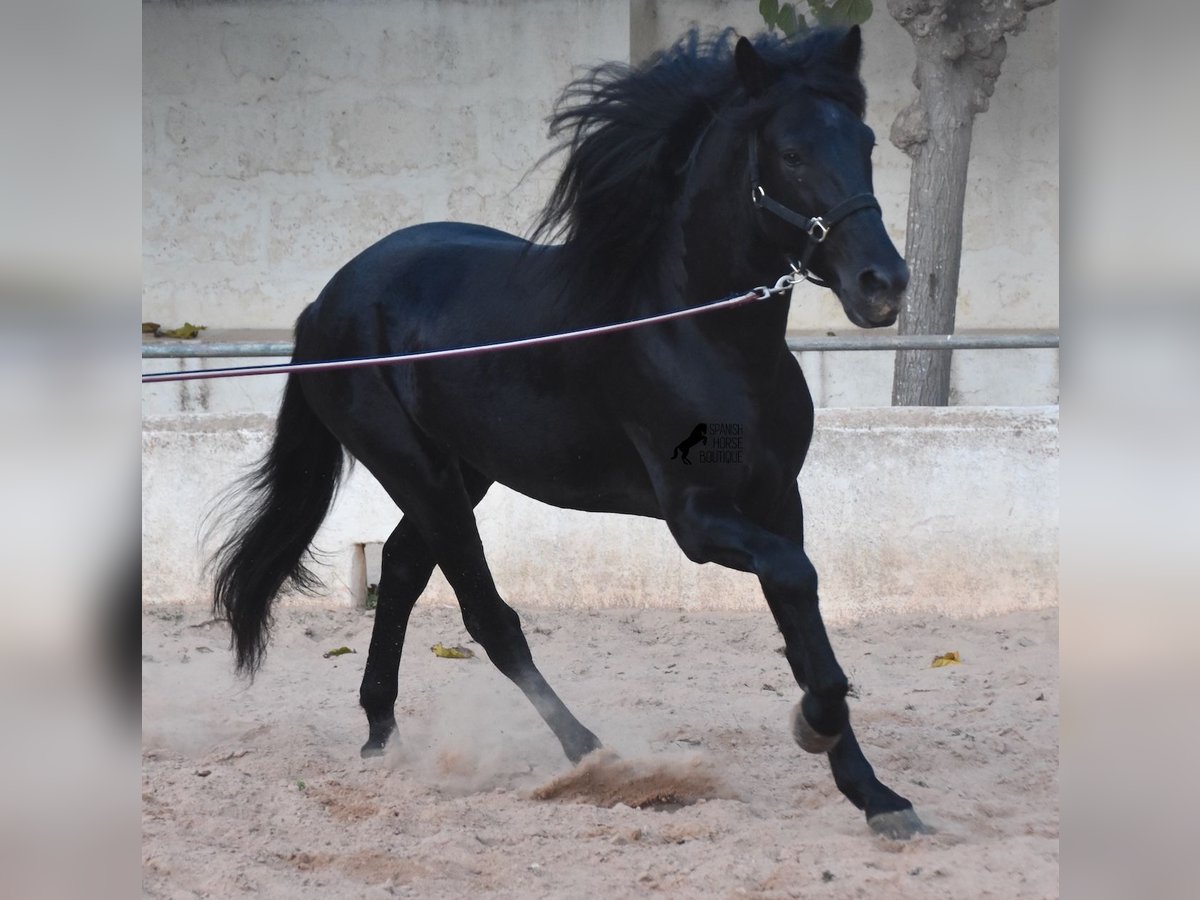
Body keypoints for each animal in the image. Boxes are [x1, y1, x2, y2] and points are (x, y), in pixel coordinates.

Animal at [213, 30, 926, 844]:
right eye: (792, 154)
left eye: (866, 142)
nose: (883, 284)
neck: (703, 336)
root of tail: (324, 302)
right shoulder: (697, 518)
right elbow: (797, 584)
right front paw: (815, 726)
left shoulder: (778, 501)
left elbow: (801, 616)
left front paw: (875, 794)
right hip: (417, 470)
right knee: (486, 615)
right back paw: (594, 758)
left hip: (463, 471)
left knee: (400, 571)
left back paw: (380, 737)